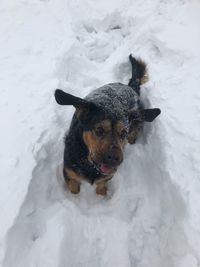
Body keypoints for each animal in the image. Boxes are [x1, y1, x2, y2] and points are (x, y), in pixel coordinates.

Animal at [54, 55, 160, 197]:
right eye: (99, 130)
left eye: (123, 133)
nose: (114, 159)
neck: (89, 163)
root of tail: (130, 87)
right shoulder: (69, 173)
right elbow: (74, 189)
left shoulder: (107, 177)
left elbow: (101, 187)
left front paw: (102, 197)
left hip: (137, 119)